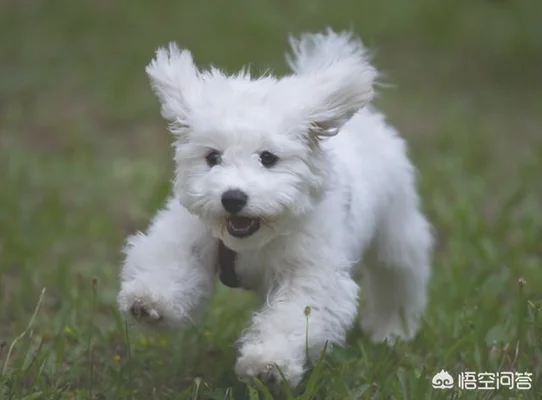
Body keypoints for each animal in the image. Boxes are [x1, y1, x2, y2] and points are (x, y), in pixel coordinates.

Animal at [118, 30, 434, 388]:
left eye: (268, 157)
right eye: (212, 157)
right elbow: (170, 262)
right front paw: (148, 300)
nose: (233, 198)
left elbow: (293, 317)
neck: (256, 239)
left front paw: (268, 365)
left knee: (398, 277)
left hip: (396, 231)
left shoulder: (311, 273)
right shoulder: (189, 235)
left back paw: (393, 330)